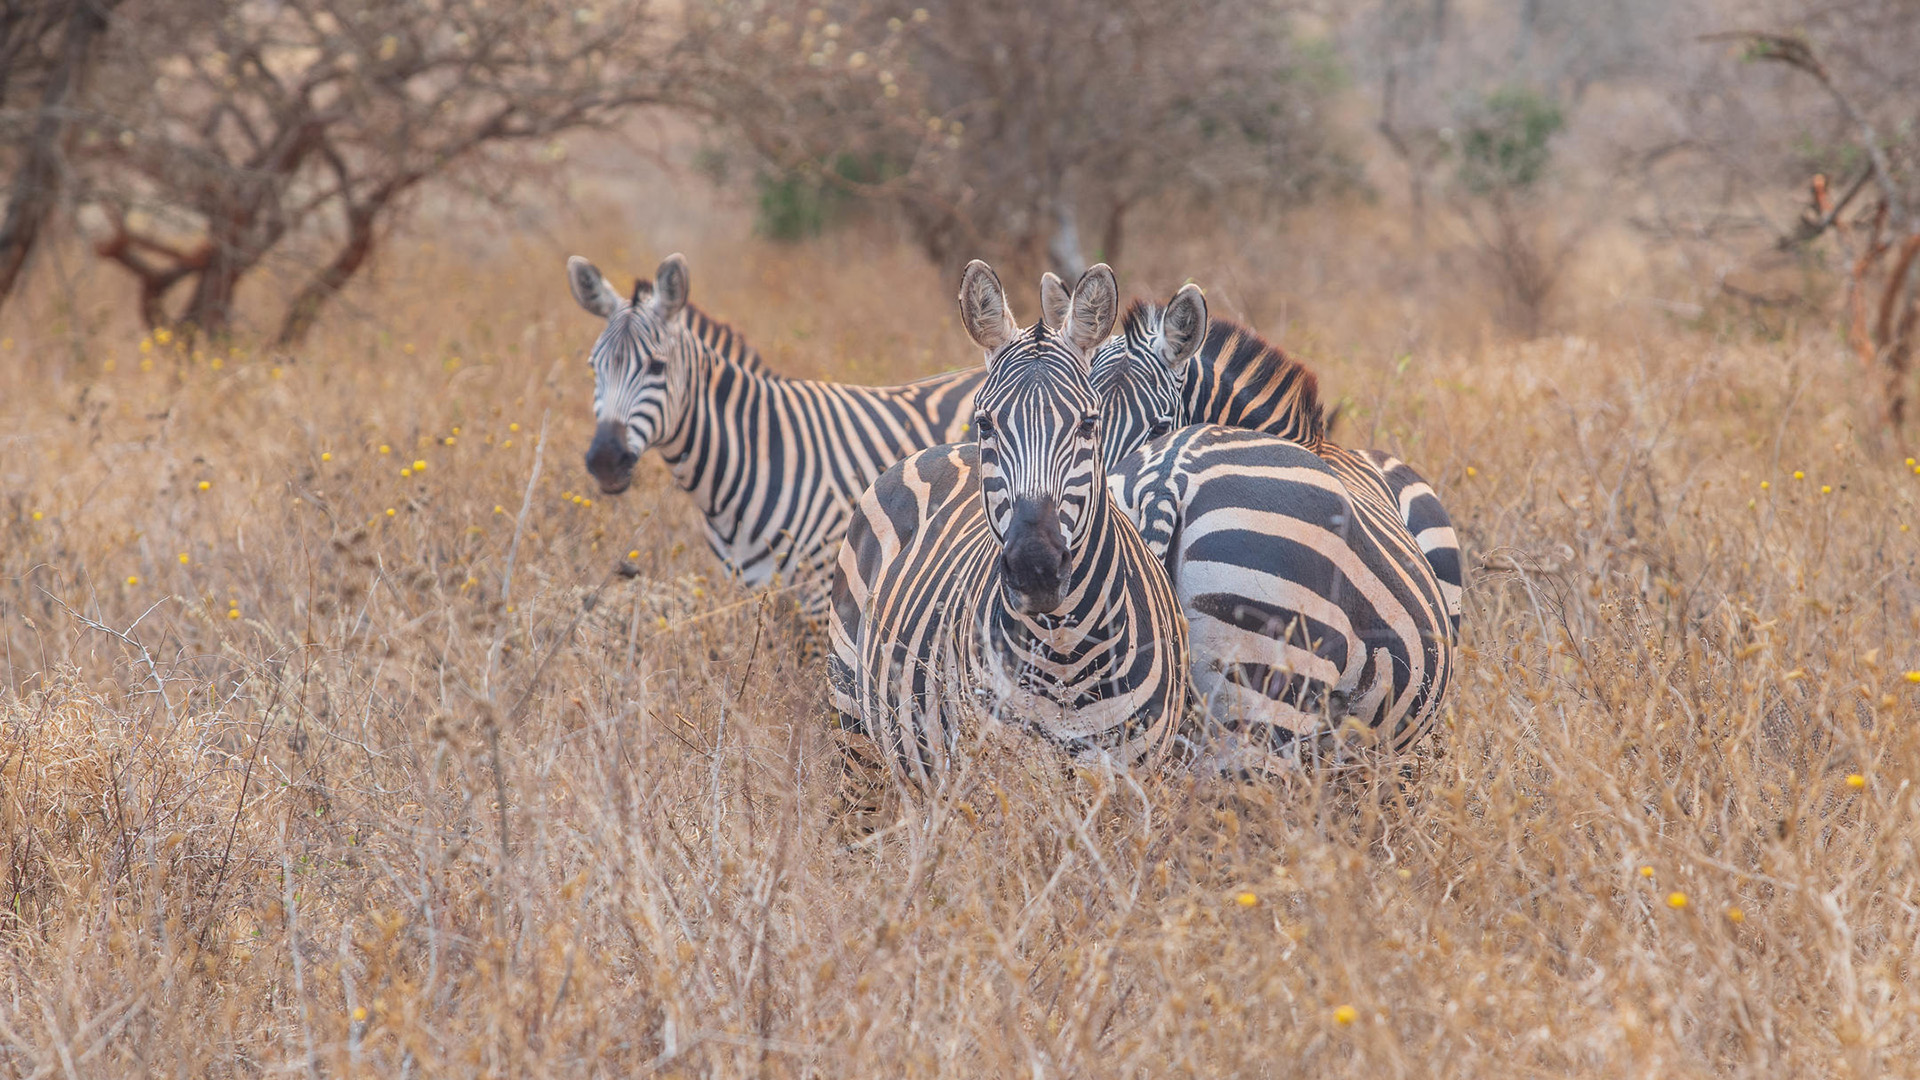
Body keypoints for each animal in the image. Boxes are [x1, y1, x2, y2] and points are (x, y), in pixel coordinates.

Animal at [826, 262, 1191, 788]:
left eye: (1088, 423)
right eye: (986, 423)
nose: (1035, 569)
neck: (1065, 651)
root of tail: (942, 448)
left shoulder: (1133, 780)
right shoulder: (1002, 782)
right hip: (856, 734)